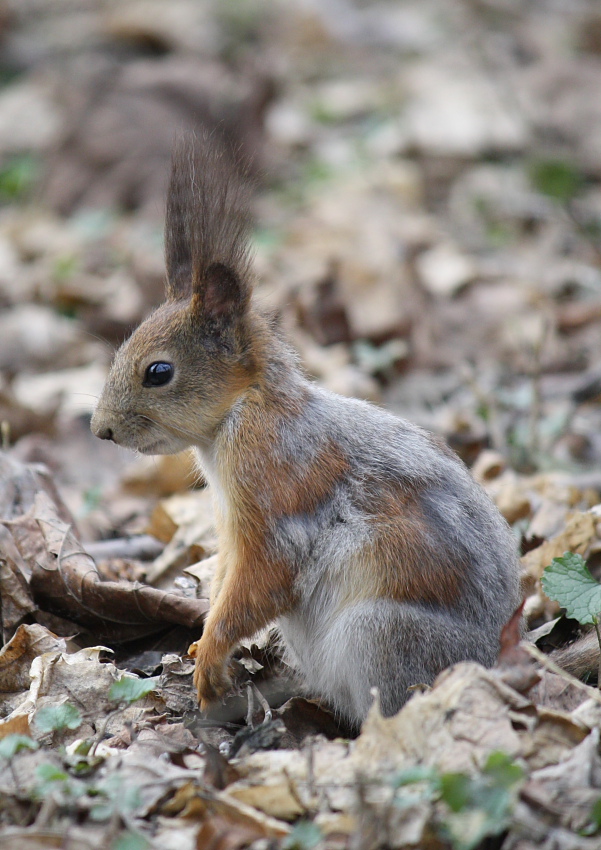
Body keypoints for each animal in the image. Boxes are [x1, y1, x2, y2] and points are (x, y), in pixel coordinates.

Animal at [91, 134, 524, 724]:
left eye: (158, 372)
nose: (101, 430)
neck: (244, 413)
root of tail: (497, 660)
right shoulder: (229, 526)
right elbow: (224, 579)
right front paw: (202, 644)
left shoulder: (277, 499)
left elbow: (261, 582)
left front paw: (211, 658)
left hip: (383, 635)